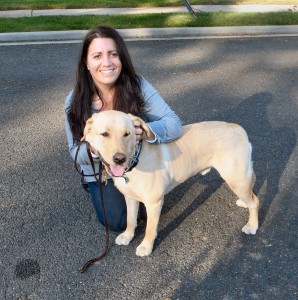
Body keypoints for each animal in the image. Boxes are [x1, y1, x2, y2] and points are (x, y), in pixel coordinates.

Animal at [81, 111, 258, 256]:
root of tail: (238, 128)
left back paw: (252, 225)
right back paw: (245, 203)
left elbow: (150, 228)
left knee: (255, 202)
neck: (135, 160)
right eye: (104, 134)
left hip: (235, 179)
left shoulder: (154, 202)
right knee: (252, 189)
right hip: (240, 178)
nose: (119, 159)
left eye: (127, 134)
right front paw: (127, 235)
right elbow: (130, 220)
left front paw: (146, 246)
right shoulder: (130, 198)